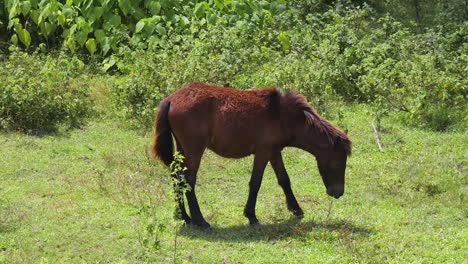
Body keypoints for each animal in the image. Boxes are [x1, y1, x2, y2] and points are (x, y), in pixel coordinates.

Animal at [152, 82, 352, 231]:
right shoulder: (263, 152)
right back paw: (200, 221)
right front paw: (251, 216)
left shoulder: (274, 152)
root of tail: (170, 99)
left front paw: (296, 209)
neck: (281, 114)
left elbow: (284, 180)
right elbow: (255, 182)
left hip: (182, 149)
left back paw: (184, 217)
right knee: (188, 180)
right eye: (337, 163)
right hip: (194, 149)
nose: (338, 192)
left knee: (177, 177)